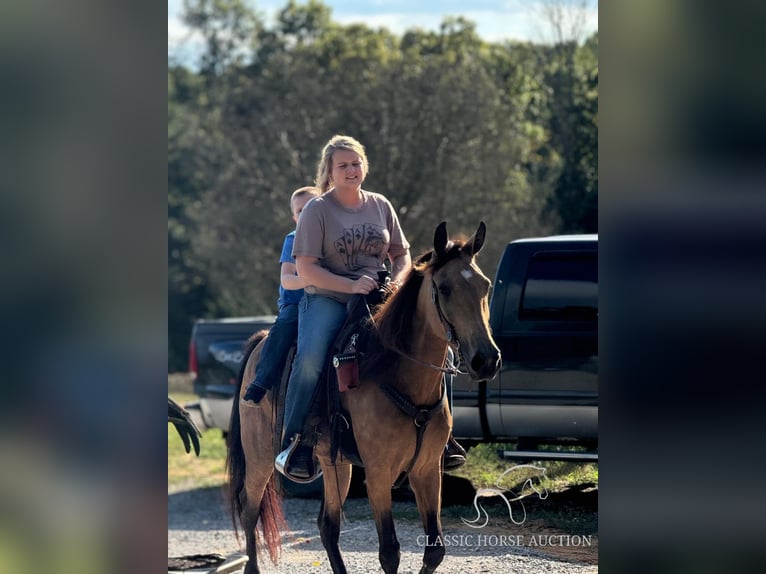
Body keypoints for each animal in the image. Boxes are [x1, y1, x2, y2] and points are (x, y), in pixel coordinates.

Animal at [226, 222, 504, 574]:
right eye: (444, 288)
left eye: (485, 286)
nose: (486, 360)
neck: (396, 372)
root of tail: (261, 342)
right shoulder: (378, 474)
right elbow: (389, 552)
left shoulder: (427, 470)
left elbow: (435, 551)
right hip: (259, 456)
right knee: (250, 510)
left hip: (335, 463)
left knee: (327, 525)